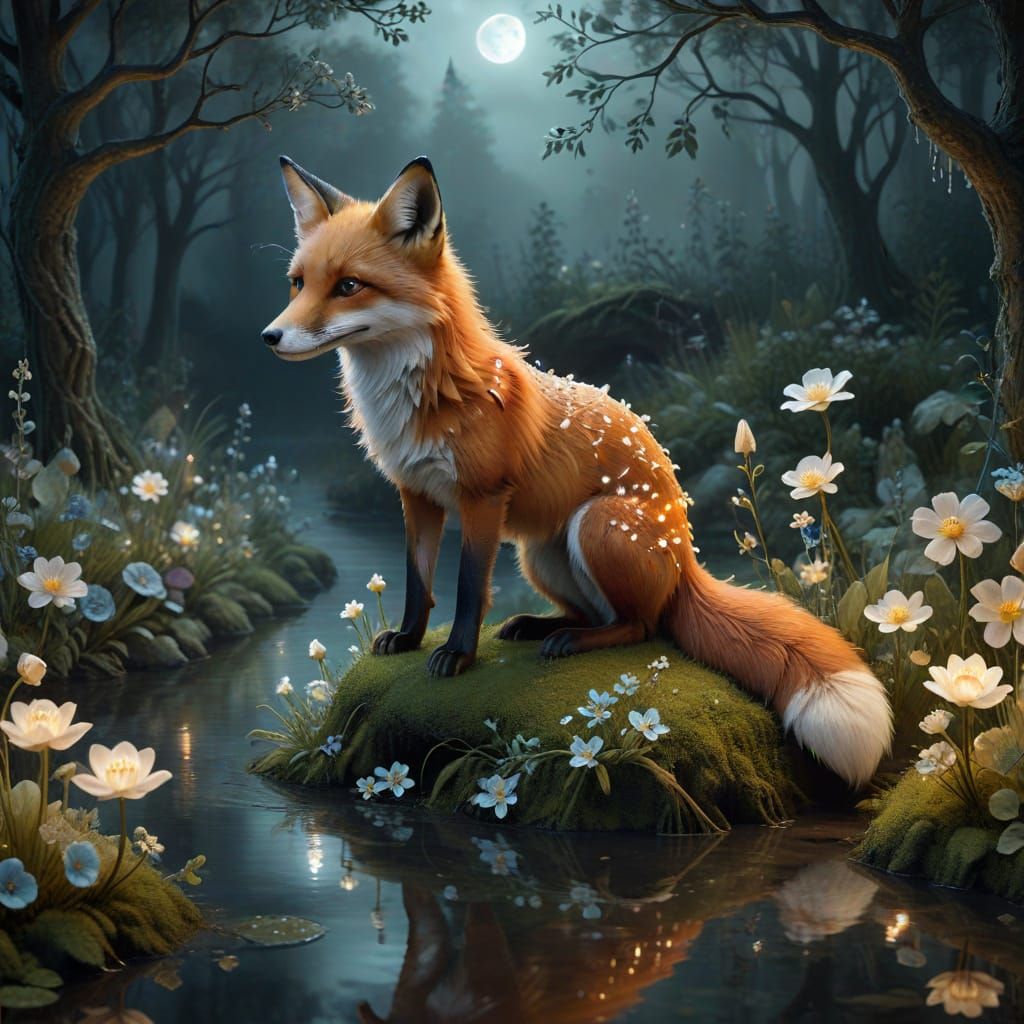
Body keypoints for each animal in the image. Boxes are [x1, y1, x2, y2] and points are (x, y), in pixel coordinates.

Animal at [261, 155, 892, 787]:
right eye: (297, 283)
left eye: (349, 286)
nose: (270, 337)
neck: (427, 393)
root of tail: (686, 560)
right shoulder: (416, 494)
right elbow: (419, 581)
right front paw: (410, 637)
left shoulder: (482, 497)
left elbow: (467, 587)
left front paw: (458, 655)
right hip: (539, 554)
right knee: (598, 612)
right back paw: (538, 626)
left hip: (596, 524)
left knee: (641, 625)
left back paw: (571, 641)